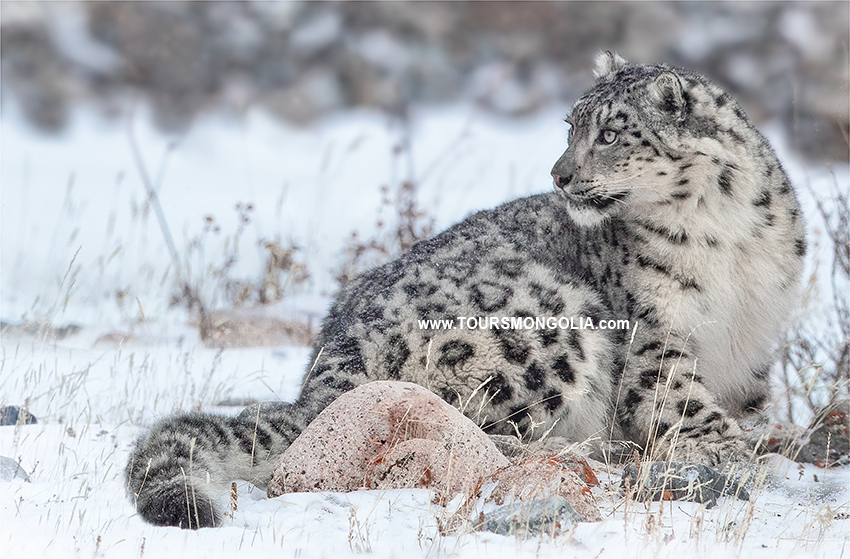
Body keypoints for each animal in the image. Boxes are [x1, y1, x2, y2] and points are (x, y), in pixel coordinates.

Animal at [125, 52, 806, 528]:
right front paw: (728, 450)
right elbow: (676, 395)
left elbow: (747, 399)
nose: (559, 175)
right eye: (569, 126)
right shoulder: (655, 329)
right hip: (546, 326)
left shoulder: (758, 338)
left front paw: (764, 442)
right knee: (480, 429)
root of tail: (326, 363)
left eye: (612, 133)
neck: (727, 240)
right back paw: (593, 452)